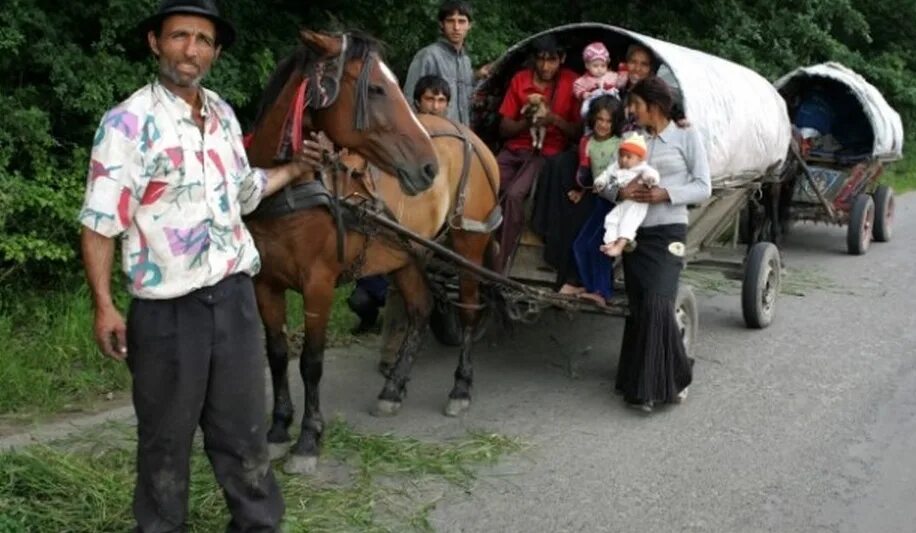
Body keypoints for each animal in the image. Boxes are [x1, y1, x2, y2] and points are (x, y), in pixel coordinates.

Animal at [245, 31, 500, 472]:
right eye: (376, 89)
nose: (429, 167)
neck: (290, 190)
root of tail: (471, 137)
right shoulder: (265, 283)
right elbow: (276, 355)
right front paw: (278, 429)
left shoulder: (318, 284)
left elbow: (310, 363)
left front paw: (308, 440)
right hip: (405, 253)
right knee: (421, 309)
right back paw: (393, 388)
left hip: (469, 245)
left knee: (468, 311)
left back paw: (460, 388)